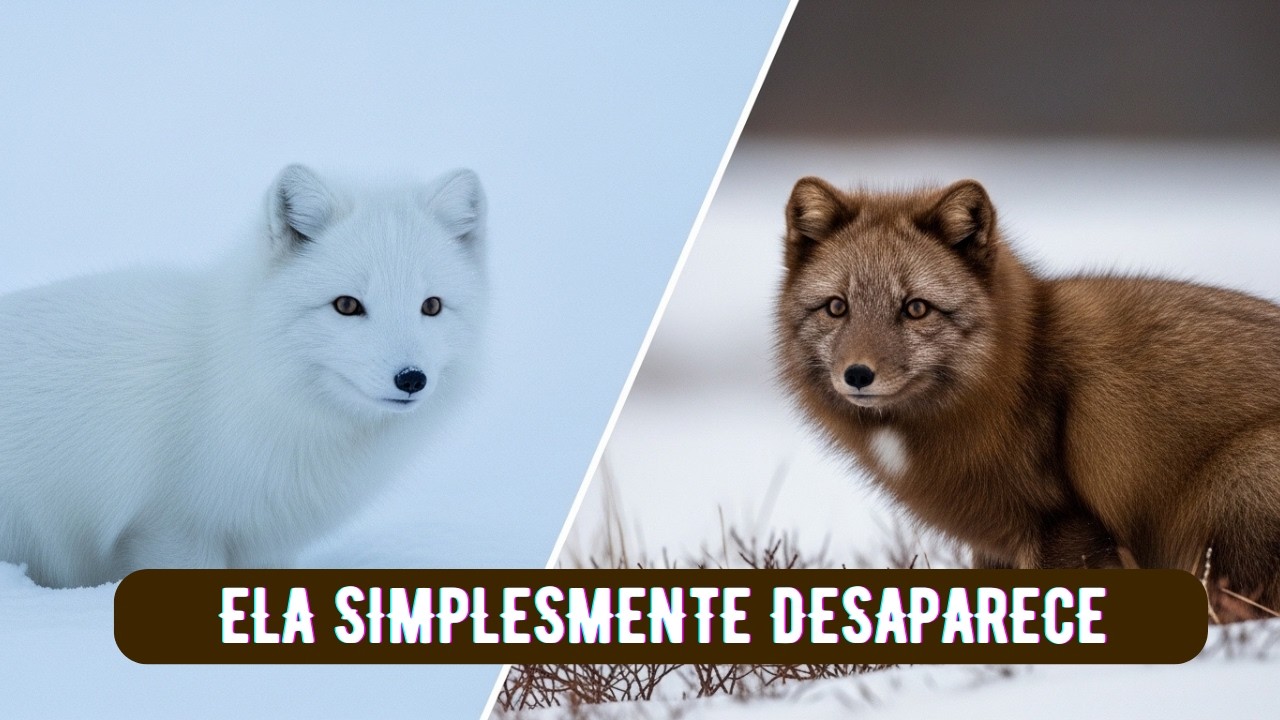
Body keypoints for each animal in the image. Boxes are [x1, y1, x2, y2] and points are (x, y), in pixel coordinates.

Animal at [774, 176, 1280, 618]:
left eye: (915, 308)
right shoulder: (997, 544)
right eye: (837, 307)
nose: (858, 375)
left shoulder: (1063, 523)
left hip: (1239, 486)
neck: (1022, 372)